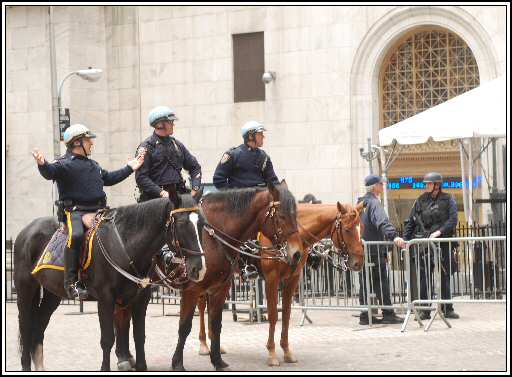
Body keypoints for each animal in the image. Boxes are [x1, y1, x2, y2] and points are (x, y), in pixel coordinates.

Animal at [13, 191, 204, 370]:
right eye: (182, 224)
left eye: (202, 223)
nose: (199, 268)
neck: (125, 245)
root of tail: (26, 230)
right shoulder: (106, 299)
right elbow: (107, 339)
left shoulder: (140, 300)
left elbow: (139, 336)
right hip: (25, 288)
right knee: (25, 325)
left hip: (53, 293)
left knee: (38, 326)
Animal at [171, 181, 304, 370]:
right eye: (282, 216)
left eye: (296, 215)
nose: (297, 254)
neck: (214, 237)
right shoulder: (193, 288)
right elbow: (184, 326)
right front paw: (272, 354)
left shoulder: (222, 287)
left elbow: (285, 314)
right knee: (201, 308)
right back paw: (203, 345)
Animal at [194, 201, 366, 366]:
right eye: (347, 230)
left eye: (361, 228)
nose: (358, 263)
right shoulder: (272, 279)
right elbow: (273, 315)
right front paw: (271, 353)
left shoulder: (292, 279)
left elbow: (286, 314)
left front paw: (287, 351)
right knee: (202, 306)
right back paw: (204, 344)